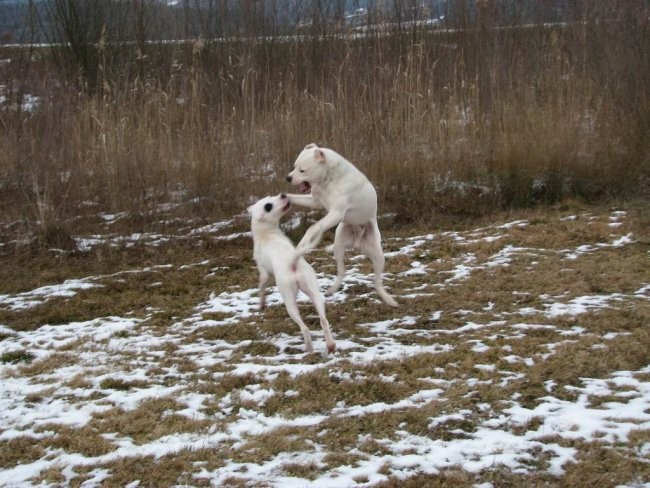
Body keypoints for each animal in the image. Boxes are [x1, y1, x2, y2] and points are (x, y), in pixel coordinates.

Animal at [247, 192, 334, 354]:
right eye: (268, 205)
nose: (282, 194)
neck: (267, 234)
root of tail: (293, 263)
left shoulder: (264, 273)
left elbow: (261, 288)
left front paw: (261, 304)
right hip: (314, 293)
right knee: (323, 320)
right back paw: (330, 345)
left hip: (289, 301)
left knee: (305, 328)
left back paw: (308, 349)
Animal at [286, 143, 398, 306]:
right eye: (294, 166)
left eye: (302, 170)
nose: (288, 178)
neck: (328, 179)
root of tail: (357, 243)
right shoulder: (315, 202)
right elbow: (292, 197)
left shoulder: (336, 214)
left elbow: (313, 228)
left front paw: (303, 243)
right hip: (339, 247)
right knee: (341, 272)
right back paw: (332, 289)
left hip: (378, 256)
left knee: (377, 282)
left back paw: (389, 299)